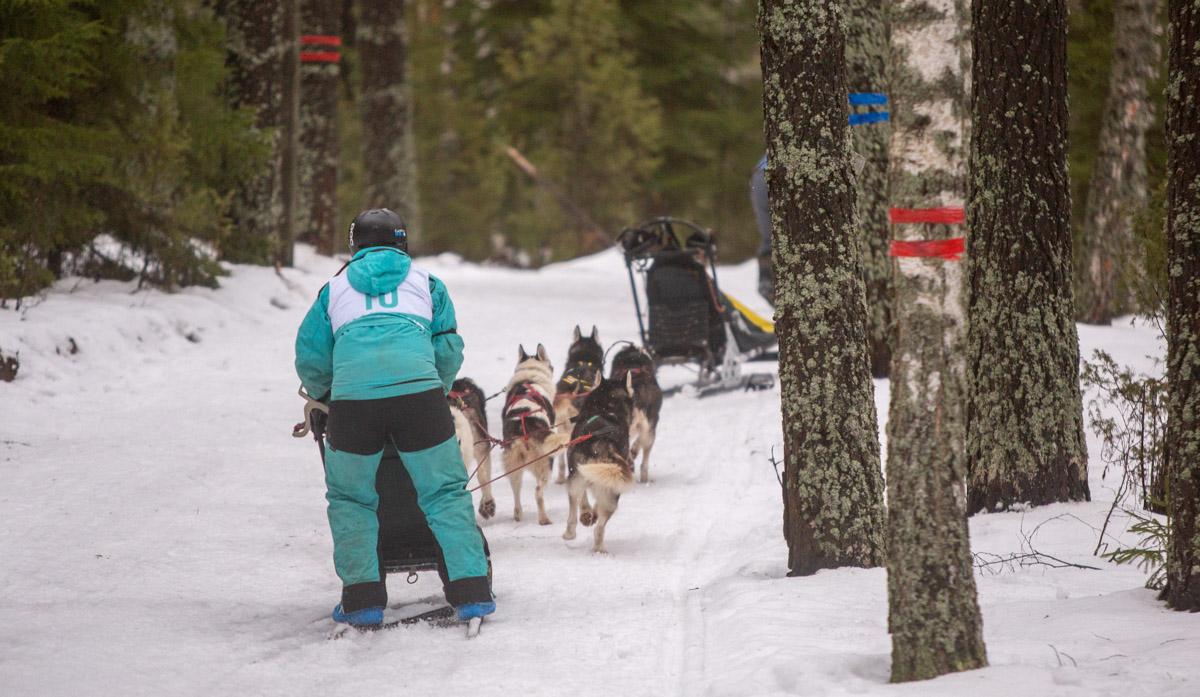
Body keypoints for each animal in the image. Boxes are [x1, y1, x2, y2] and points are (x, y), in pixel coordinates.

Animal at [499, 343, 568, 523]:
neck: (529, 379)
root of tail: (523, 426)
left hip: (513, 468)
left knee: (516, 492)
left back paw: (518, 514)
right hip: (545, 466)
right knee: (538, 493)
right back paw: (544, 519)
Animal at [564, 371, 638, 551]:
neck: (606, 408)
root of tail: (602, 442)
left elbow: (584, 500)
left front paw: (588, 513)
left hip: (577, 478)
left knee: (575, 515)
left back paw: (573, 533)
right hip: (610, 488)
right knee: (599, 526)